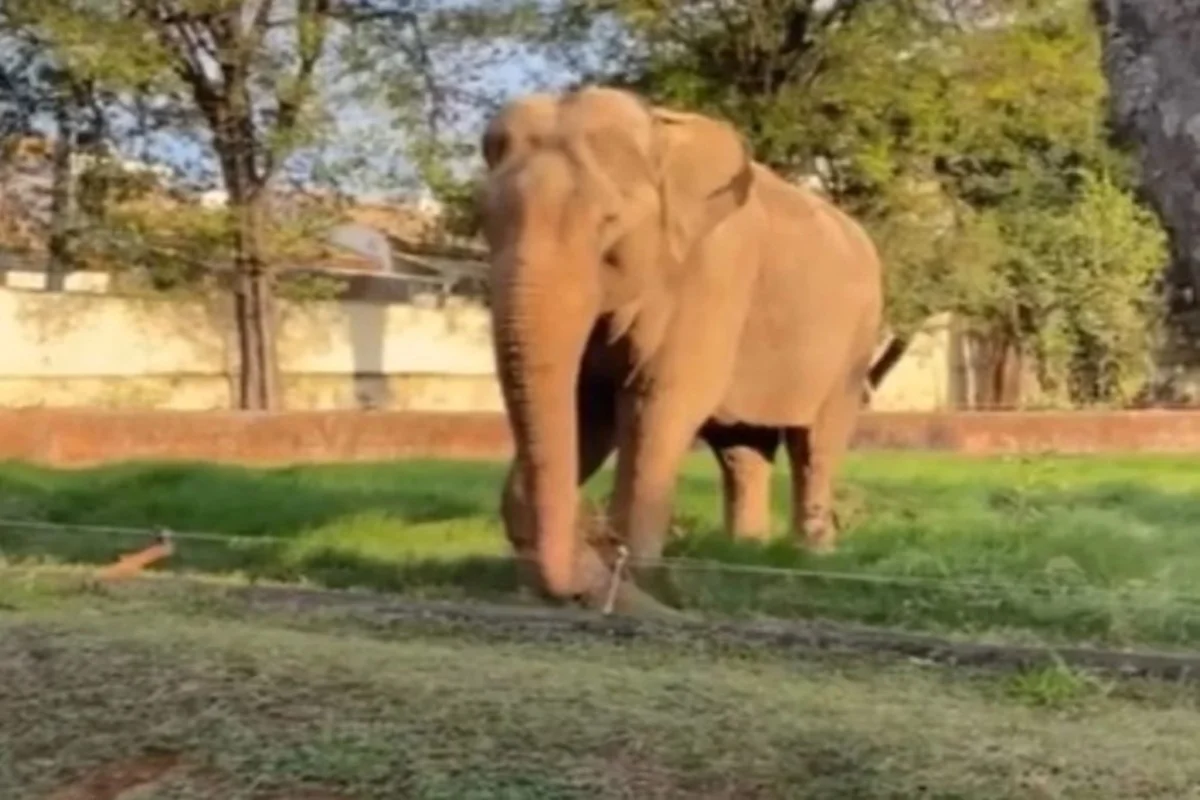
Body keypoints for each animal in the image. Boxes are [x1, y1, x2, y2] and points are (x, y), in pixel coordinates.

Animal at [478, 85, 889, 613]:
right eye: (486, 221)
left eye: (608, 222)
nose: (588, 546)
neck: (659, 132)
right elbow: (587, 411)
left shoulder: (714, 273)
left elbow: (660, 400)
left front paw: (635, 578)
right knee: (742, 449)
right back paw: (744, 552)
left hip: (854, 341)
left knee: (815, 443)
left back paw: (810, 558)